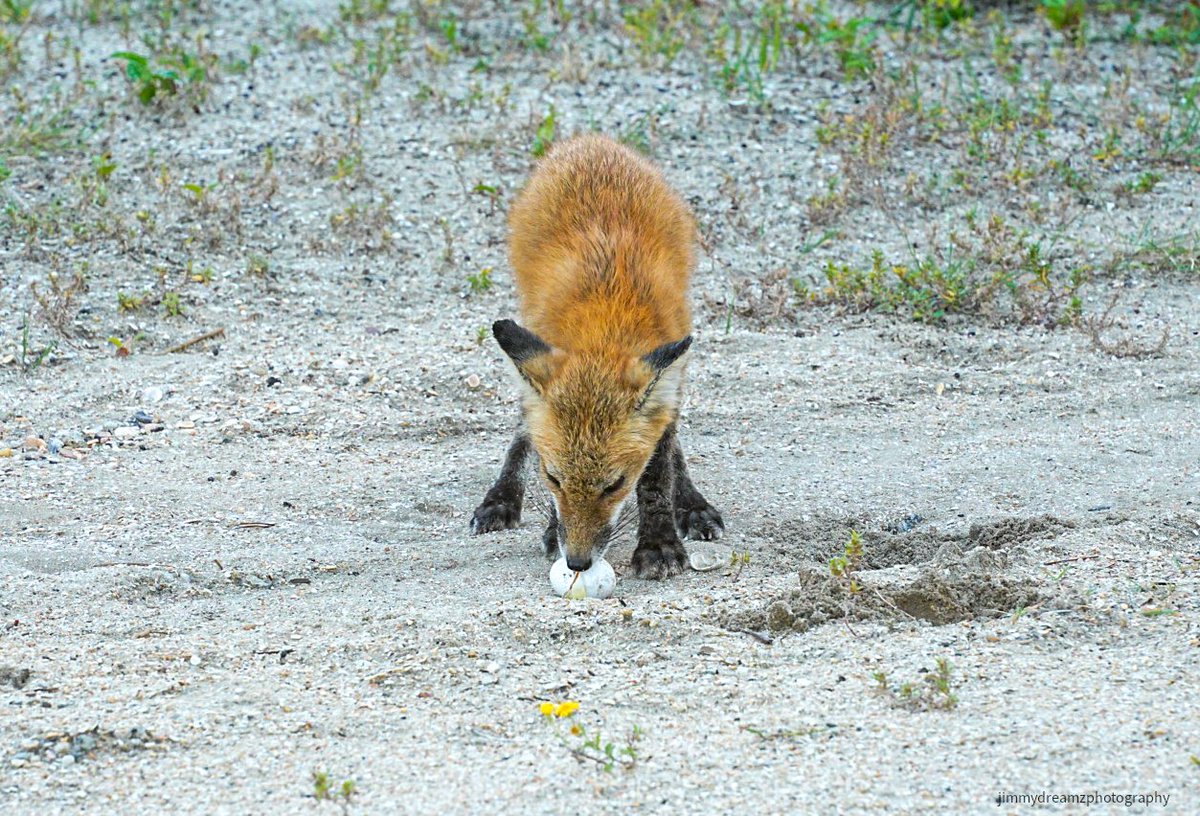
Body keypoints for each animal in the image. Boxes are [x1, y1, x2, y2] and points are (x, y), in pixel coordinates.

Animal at [468, 133, 715, 576]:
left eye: (614, 485)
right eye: (553, 478)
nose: (578, 562)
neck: (607, 319)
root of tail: (592, 142)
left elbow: (658, 475)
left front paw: (659, 542)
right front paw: (552, 528)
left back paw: (690, 502)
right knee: (524, 424)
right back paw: (502, 497)